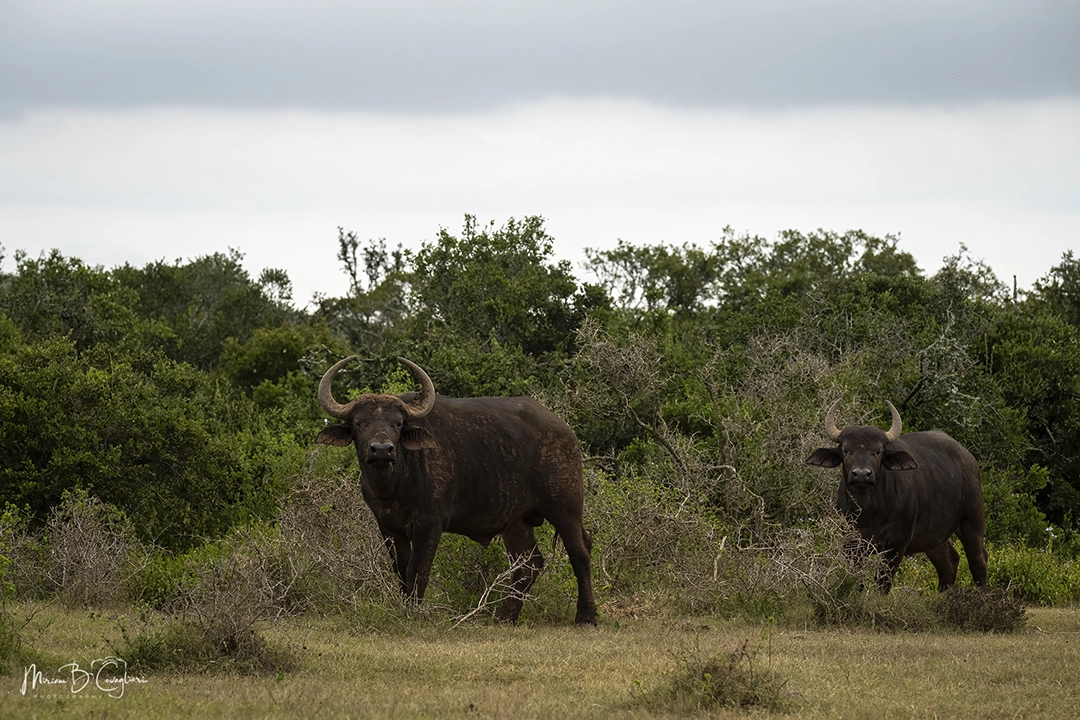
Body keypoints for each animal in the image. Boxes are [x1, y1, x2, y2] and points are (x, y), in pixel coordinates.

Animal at [315, 356, 597, 625]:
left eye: (398, 423)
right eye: (359, 423)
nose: (382, 449)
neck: (394, 486)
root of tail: (566, 432)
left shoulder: (430, 523)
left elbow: (417, 571)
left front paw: (414, 613)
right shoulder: (388, 528)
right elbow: (402, 572)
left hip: (565, 508)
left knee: (580, 553)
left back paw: (586, 616)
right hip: (517, 522)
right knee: (529, 564)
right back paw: (505, 617)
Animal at [805, 400, 988, 593]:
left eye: (878, 451)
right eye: (846, 451)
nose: (862, 474)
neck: (868, 511)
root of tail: (969, 459)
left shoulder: (897, 544)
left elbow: (883, 581)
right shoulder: (850, 543)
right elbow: (856, 579)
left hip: (972, 520)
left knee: (978, 560)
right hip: (934, 536)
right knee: (949, 563)